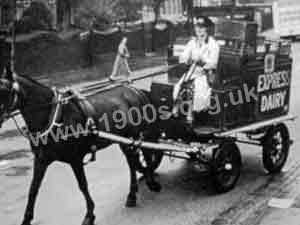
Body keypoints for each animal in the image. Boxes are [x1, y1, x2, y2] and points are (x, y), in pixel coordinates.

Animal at [0, 68, 162, 225]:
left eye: (4, 90)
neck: (52, 117)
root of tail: (135, 91)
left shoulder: (75, 159)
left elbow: (82, 185)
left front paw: (90, 214)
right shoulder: (41, 159)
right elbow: (33, 189)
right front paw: (26, 218)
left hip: (138, 135)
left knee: (147, 154)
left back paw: (150, 182)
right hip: (126, 141)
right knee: (133, 162)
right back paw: (134, 193)